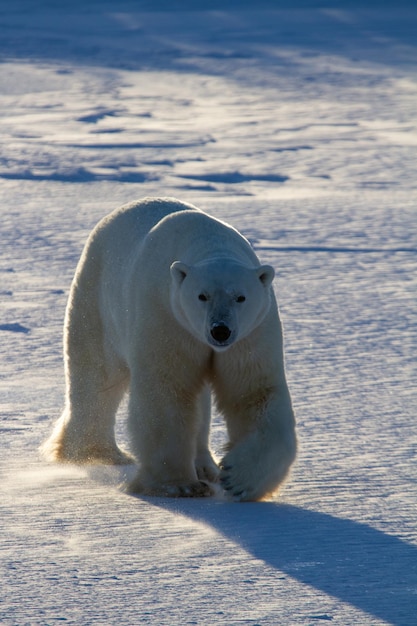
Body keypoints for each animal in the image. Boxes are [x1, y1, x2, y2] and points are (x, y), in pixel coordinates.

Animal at [41, 197, 296, 500]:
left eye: (241, 297)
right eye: (202, 296)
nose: (220, 330)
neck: (209, 242)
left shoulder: (251, 334)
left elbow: (254, 393)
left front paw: (238, 478)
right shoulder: (167, 316)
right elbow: (167, 390)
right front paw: (178, 485)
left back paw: (205, 466)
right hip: (97, 297)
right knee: (96, 376)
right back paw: (98, 453)